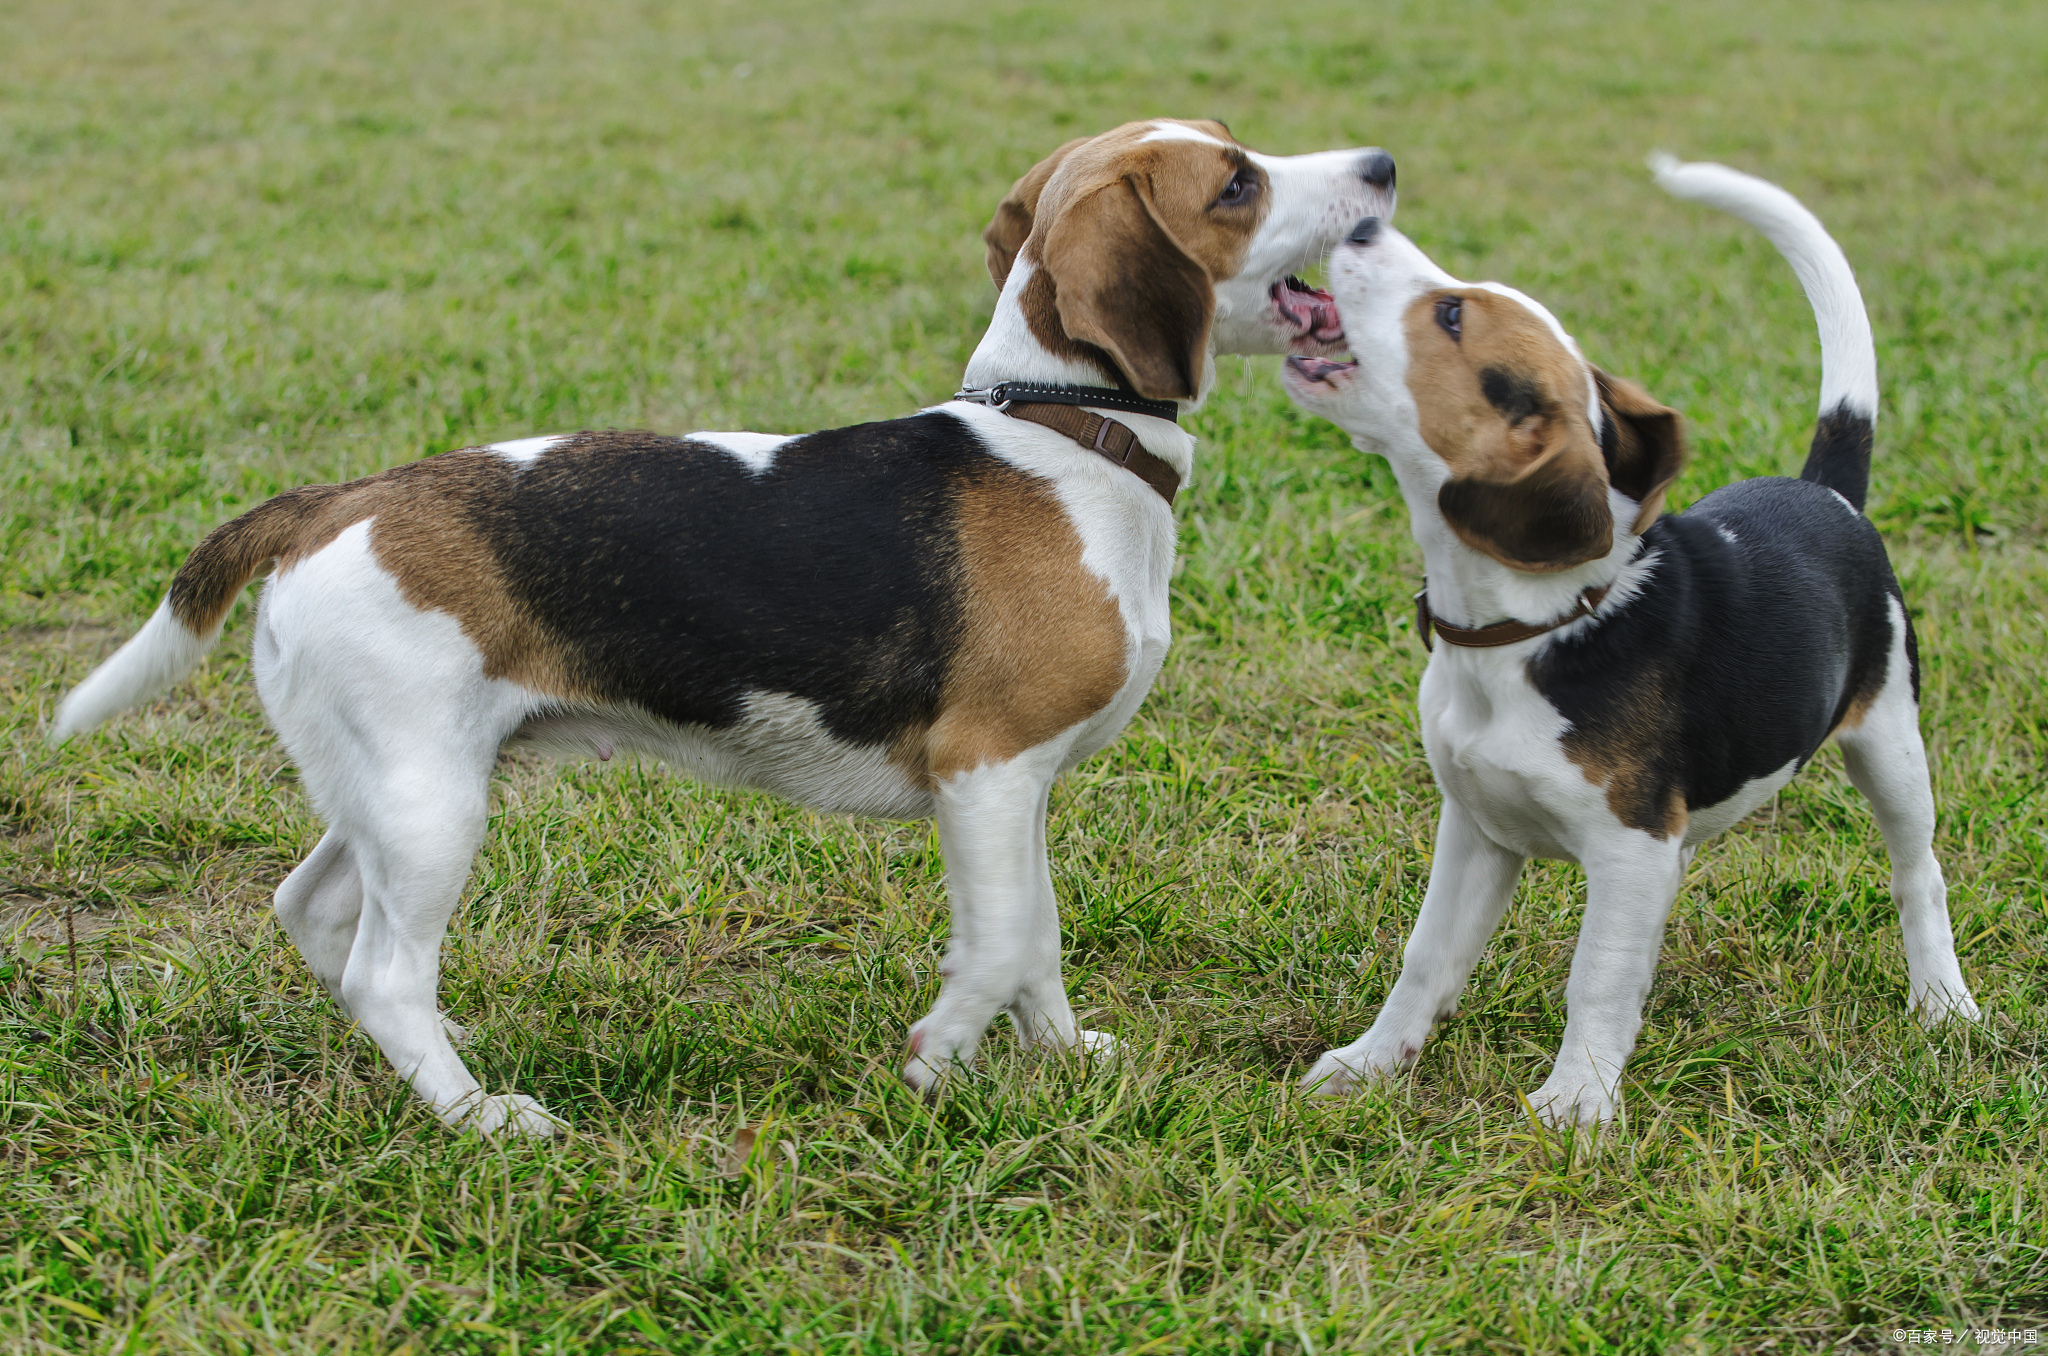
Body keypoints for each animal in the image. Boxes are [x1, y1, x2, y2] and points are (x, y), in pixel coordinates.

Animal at [51, 122, 1392, 1138]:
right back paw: (483, 1118)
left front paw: (1058, 1056)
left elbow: (1039, 941)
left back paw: (444, 1061)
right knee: (385, 967)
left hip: (392, 787)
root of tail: (338, 499)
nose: (1379, 167)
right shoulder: (985, 771)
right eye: (1234, 181)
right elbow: (1003, 940)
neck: (1064, 427)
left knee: (318, 913)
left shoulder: (1022, 790)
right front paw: (938, 1058)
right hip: (432, 802)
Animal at [1286, 156, 1974, 1122]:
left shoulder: (1630, 848)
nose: (1361, 225)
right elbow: (1426, 959)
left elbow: (1599, 976)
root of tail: (1825, 492)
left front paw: (1576, 1104)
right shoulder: (1477, 827)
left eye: (1451, 313)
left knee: (1920, 872)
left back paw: (1944, 1001)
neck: (1530, 626)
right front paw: (1371, 1063)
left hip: (1891, 741)